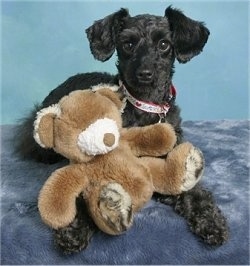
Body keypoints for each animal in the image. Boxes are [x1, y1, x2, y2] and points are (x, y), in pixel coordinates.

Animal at [15, 5, 229, 252]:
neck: (143, 106)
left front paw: (211, 221)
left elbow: (194, 192)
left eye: (164, 44)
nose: (145, 73)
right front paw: (74, 228)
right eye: (127, 44)